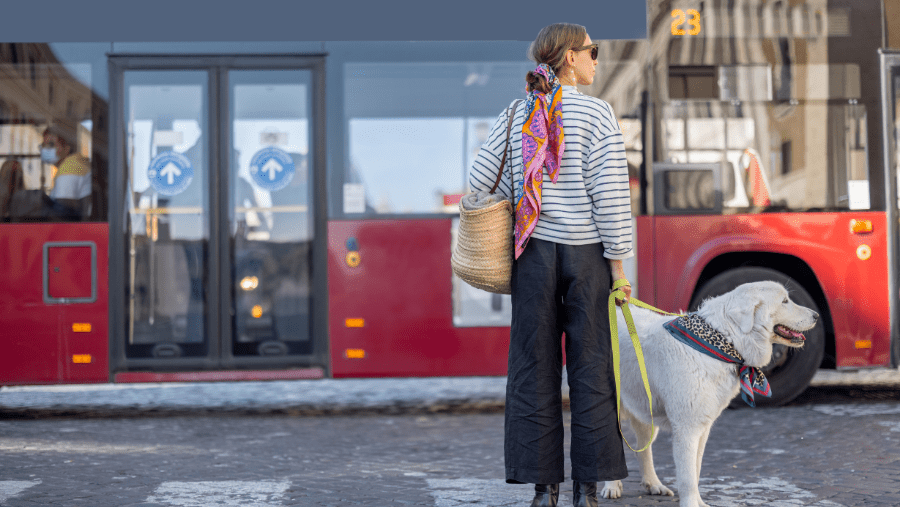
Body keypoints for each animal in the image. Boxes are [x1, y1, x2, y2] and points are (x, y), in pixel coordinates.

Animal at [600, 282, 820, 507]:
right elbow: (687, 477)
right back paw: (611, 487)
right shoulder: (687, 429)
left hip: (645, 413)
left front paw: (699, 502)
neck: (721, 343)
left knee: (643, 449)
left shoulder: (702, 427)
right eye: (784, 301)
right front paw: (690, 503)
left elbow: (695, 471)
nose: (816, 315)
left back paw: (653, 484)